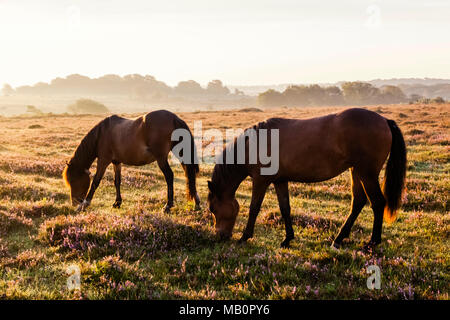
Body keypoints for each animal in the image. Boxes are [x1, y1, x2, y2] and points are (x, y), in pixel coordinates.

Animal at [62, 110, 200, 212]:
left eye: (73, 180)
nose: (74, 203)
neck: (102, 134)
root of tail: (174, 118)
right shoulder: (116, 162)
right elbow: (117, 182)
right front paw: (117, 202)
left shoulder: (103, 160)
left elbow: (95, 181)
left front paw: (84, 204)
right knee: (189, 174)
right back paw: (196, 203)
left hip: (161, 158)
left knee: (169, 176)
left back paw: (168, 206)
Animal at [207, 109, 408, 249]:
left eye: (213, 209)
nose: (220, 236)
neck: (254, 144)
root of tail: (384, 121)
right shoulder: (279, 180)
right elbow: (285, 208)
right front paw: (287, 239)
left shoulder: (260, 180)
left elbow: (254, 208)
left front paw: (245, 236)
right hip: (356, 172)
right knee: (358, 202)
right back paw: (338, 239)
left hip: (367, 174)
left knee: (378, 203)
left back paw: (372, 243)